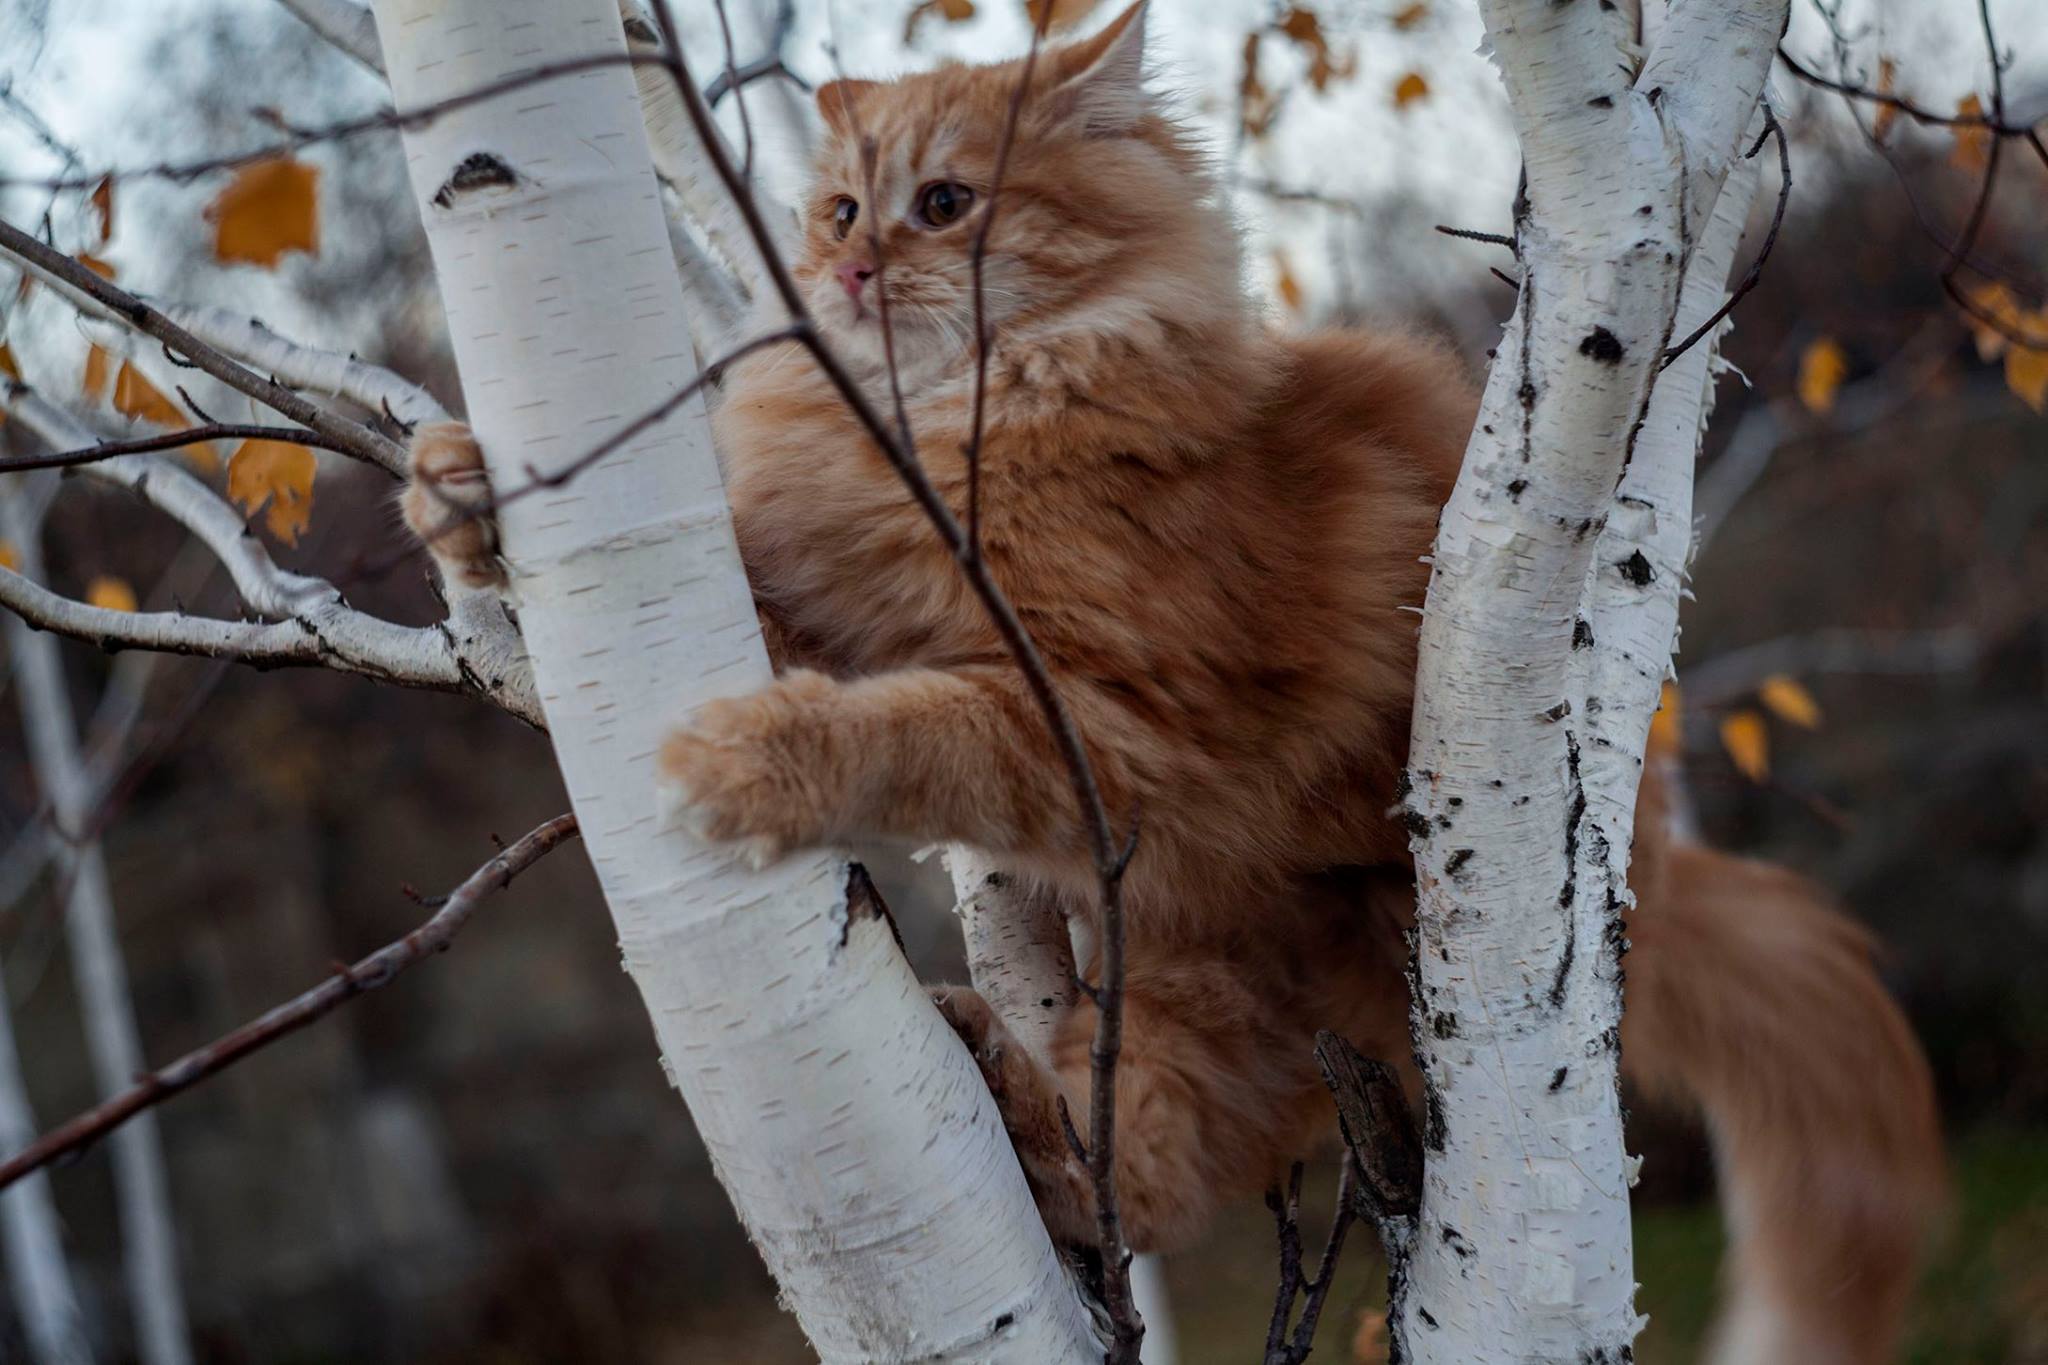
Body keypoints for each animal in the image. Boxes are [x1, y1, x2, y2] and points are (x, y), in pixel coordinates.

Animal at [407, 7, 1941, 1358]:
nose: (847, 277)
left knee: (1135, 1173)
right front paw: (467, 491)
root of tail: (1660, 875)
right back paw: (994, 1073)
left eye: (944, 204)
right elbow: (761, 584)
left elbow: (911, 732)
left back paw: (999, 1079)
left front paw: (749, 764)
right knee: (1136, 1164)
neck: (943, 427)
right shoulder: (847, 604)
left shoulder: (1107, 722)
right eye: (839, 213)